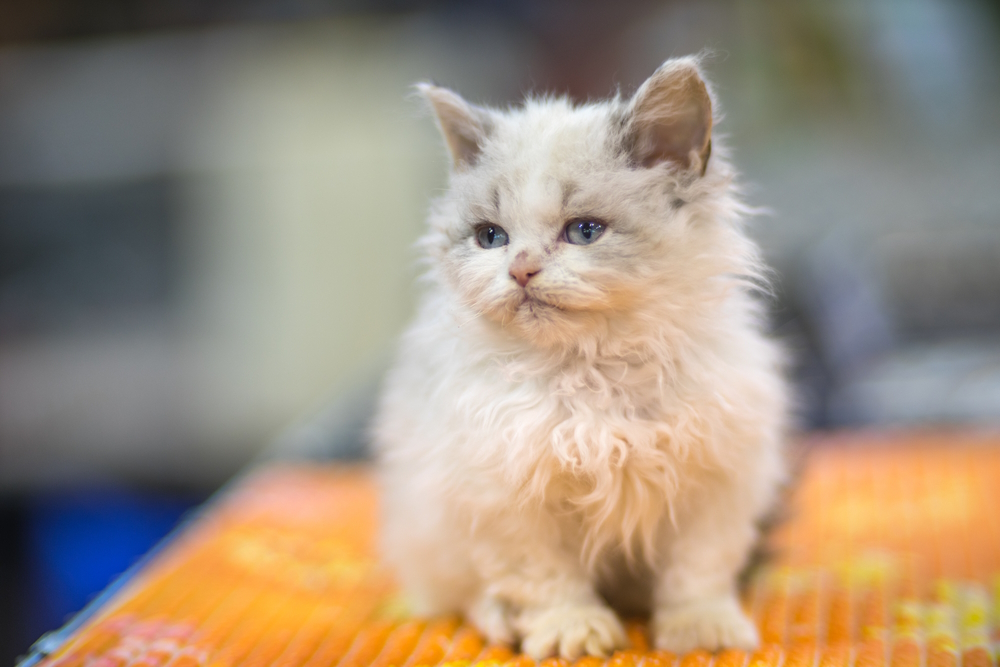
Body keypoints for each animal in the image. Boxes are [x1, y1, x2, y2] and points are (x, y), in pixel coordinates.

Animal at [374, 58, 788, 664]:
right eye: (490, 237)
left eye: (584, 231)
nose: (520, 269)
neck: (595, 372)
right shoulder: (505, 496)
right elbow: (547, 580)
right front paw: (574, 631)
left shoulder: (716, 481)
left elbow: (696, 572)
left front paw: (699, 630)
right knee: (465, 595)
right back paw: (503, 619)